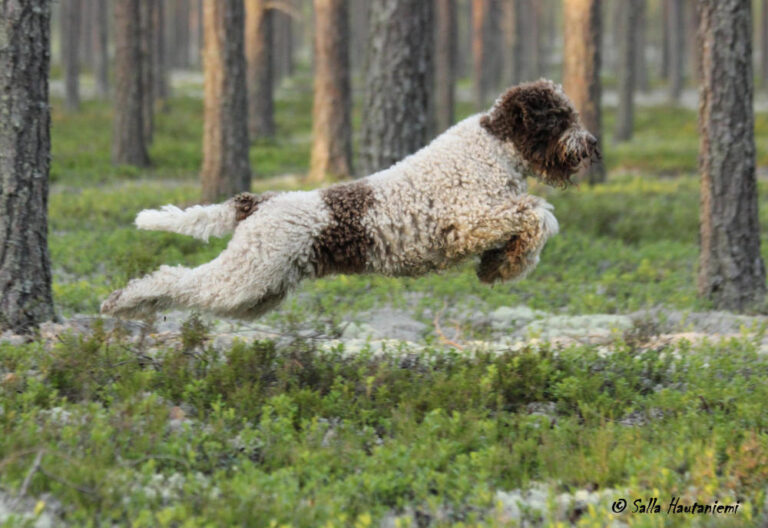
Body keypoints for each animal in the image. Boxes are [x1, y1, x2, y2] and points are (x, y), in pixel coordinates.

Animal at [100, 78, 600, 318]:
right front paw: (506, 264)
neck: (495, 147)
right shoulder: (468, 223)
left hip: (258, 292)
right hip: (245, 278)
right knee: (171, 277)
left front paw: (499, 265)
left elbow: (534, 222)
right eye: (560, 116)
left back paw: (134, 309)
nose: (592, 144)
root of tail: (256, 201)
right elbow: (539, 215)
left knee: (183, 288)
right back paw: (122, 301)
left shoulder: (483, 220)